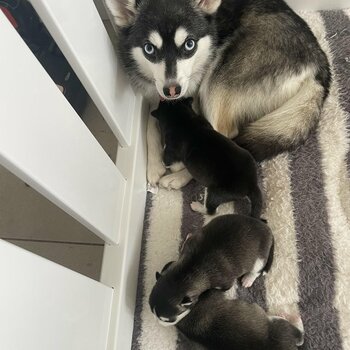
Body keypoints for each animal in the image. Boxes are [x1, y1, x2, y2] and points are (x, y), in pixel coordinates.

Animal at [105, 0, 330, 189]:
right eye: (149, 49)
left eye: (189, 44)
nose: (172, 89)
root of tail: (318, 59)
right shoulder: (159, 95)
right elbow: (151, 123)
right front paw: (154, 165)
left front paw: (174, 163)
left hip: (218, 79)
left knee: (222, 136)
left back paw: (180, 176)